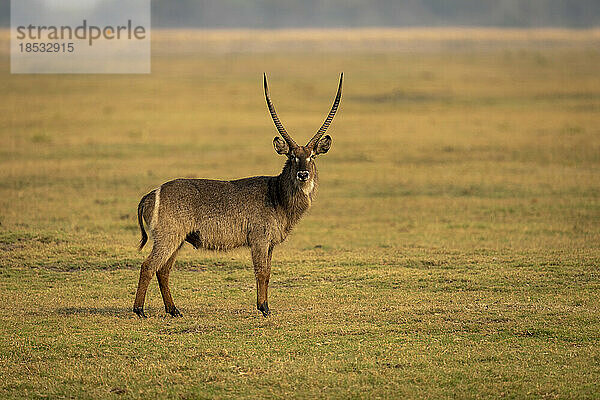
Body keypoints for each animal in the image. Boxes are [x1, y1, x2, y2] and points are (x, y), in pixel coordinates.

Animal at [135, 71, 342, 316]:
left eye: (312, 156)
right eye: (292, 156)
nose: (303, 174)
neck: (277, 195)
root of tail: (151, 194)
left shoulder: (270, 243)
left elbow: (268, 273)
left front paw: (265, 306)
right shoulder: (260, 239)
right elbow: (261, 272)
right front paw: (264, 308)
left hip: (177, 240)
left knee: (163, 270)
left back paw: (174, 310)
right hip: (168, 237)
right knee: (148, 266)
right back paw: (139, 310)